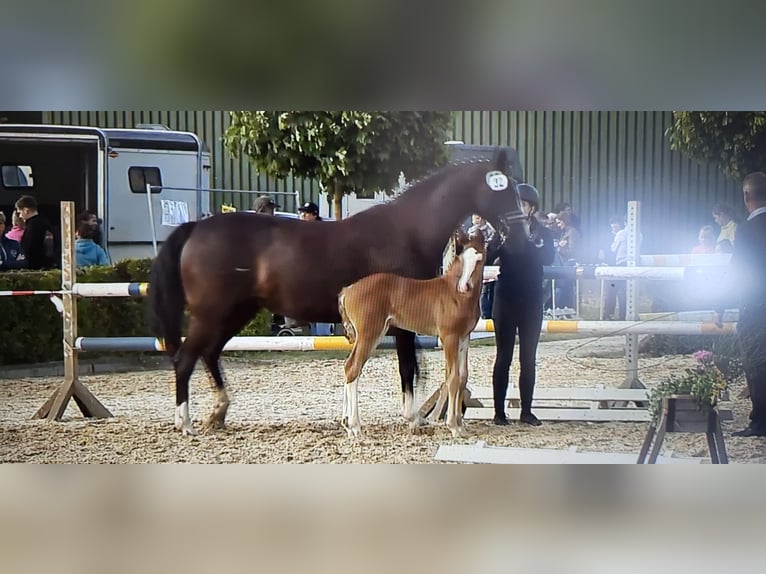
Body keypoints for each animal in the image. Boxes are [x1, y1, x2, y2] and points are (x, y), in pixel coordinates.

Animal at [338, 229, 486, 438]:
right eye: (463, 259)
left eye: (479, 259)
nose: (464, 286)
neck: (455, 295)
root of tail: (348, 290)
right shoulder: (448, 338)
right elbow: (453, 378)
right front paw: (453, 427)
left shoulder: (464, 338)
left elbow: (463, 376)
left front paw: (461, 425)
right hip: (370, 333)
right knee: (353, 368)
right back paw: (355, 426)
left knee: (348, 367)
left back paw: (347, 424)